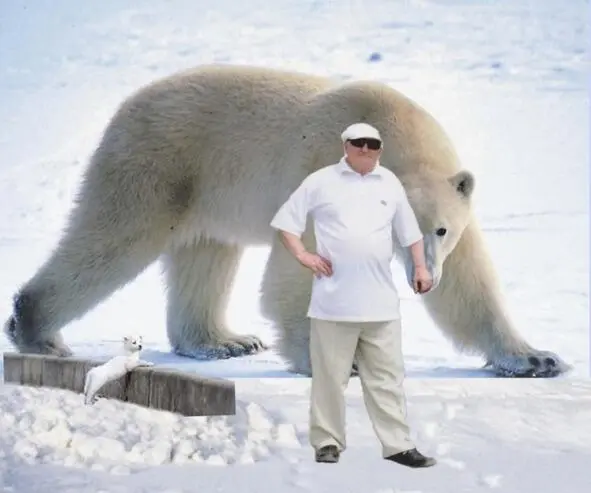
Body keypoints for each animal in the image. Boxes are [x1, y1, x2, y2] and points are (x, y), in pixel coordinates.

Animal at [3, 61, 568, 376]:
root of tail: (126, 106)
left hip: (207, 191)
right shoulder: (321, 176)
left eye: (442, 229)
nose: (422, 279)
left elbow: (470, 285)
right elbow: (300, 268)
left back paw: (222, 341)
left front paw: (536, 359)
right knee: (113, 238)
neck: (388, 131)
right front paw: (338, 362)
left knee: (206, 256)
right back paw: (39, 332)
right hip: (158, 167)